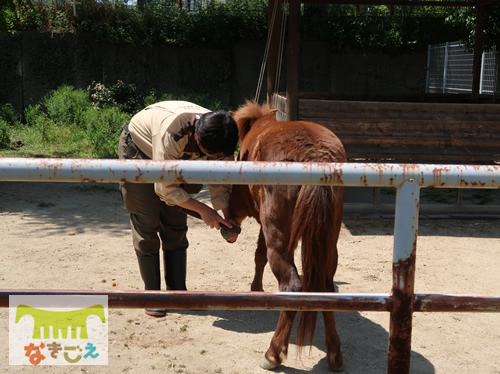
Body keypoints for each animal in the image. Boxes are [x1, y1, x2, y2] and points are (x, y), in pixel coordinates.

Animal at [229, 101, 346, 372]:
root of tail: (317, 158)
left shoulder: (263, 222)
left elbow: (259, 254)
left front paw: (256, 288)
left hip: (280, 239)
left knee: (292, 285)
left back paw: (273, 353)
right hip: (328, 243)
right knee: (326, 288)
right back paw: (334, 354)